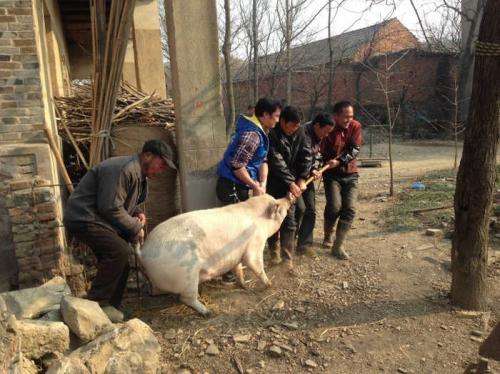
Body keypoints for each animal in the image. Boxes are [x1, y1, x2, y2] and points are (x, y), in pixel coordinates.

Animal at [137, 194, 292, 318]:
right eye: (279, 207)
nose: (288, 198)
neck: (260, 221)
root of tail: (143, 252)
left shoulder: (236, 254)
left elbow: (238, 268)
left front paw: (244, 285)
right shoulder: (255, 243)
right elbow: (255, 264)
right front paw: (270, 285)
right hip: (188, 275)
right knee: (186, 298)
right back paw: (208, 312)